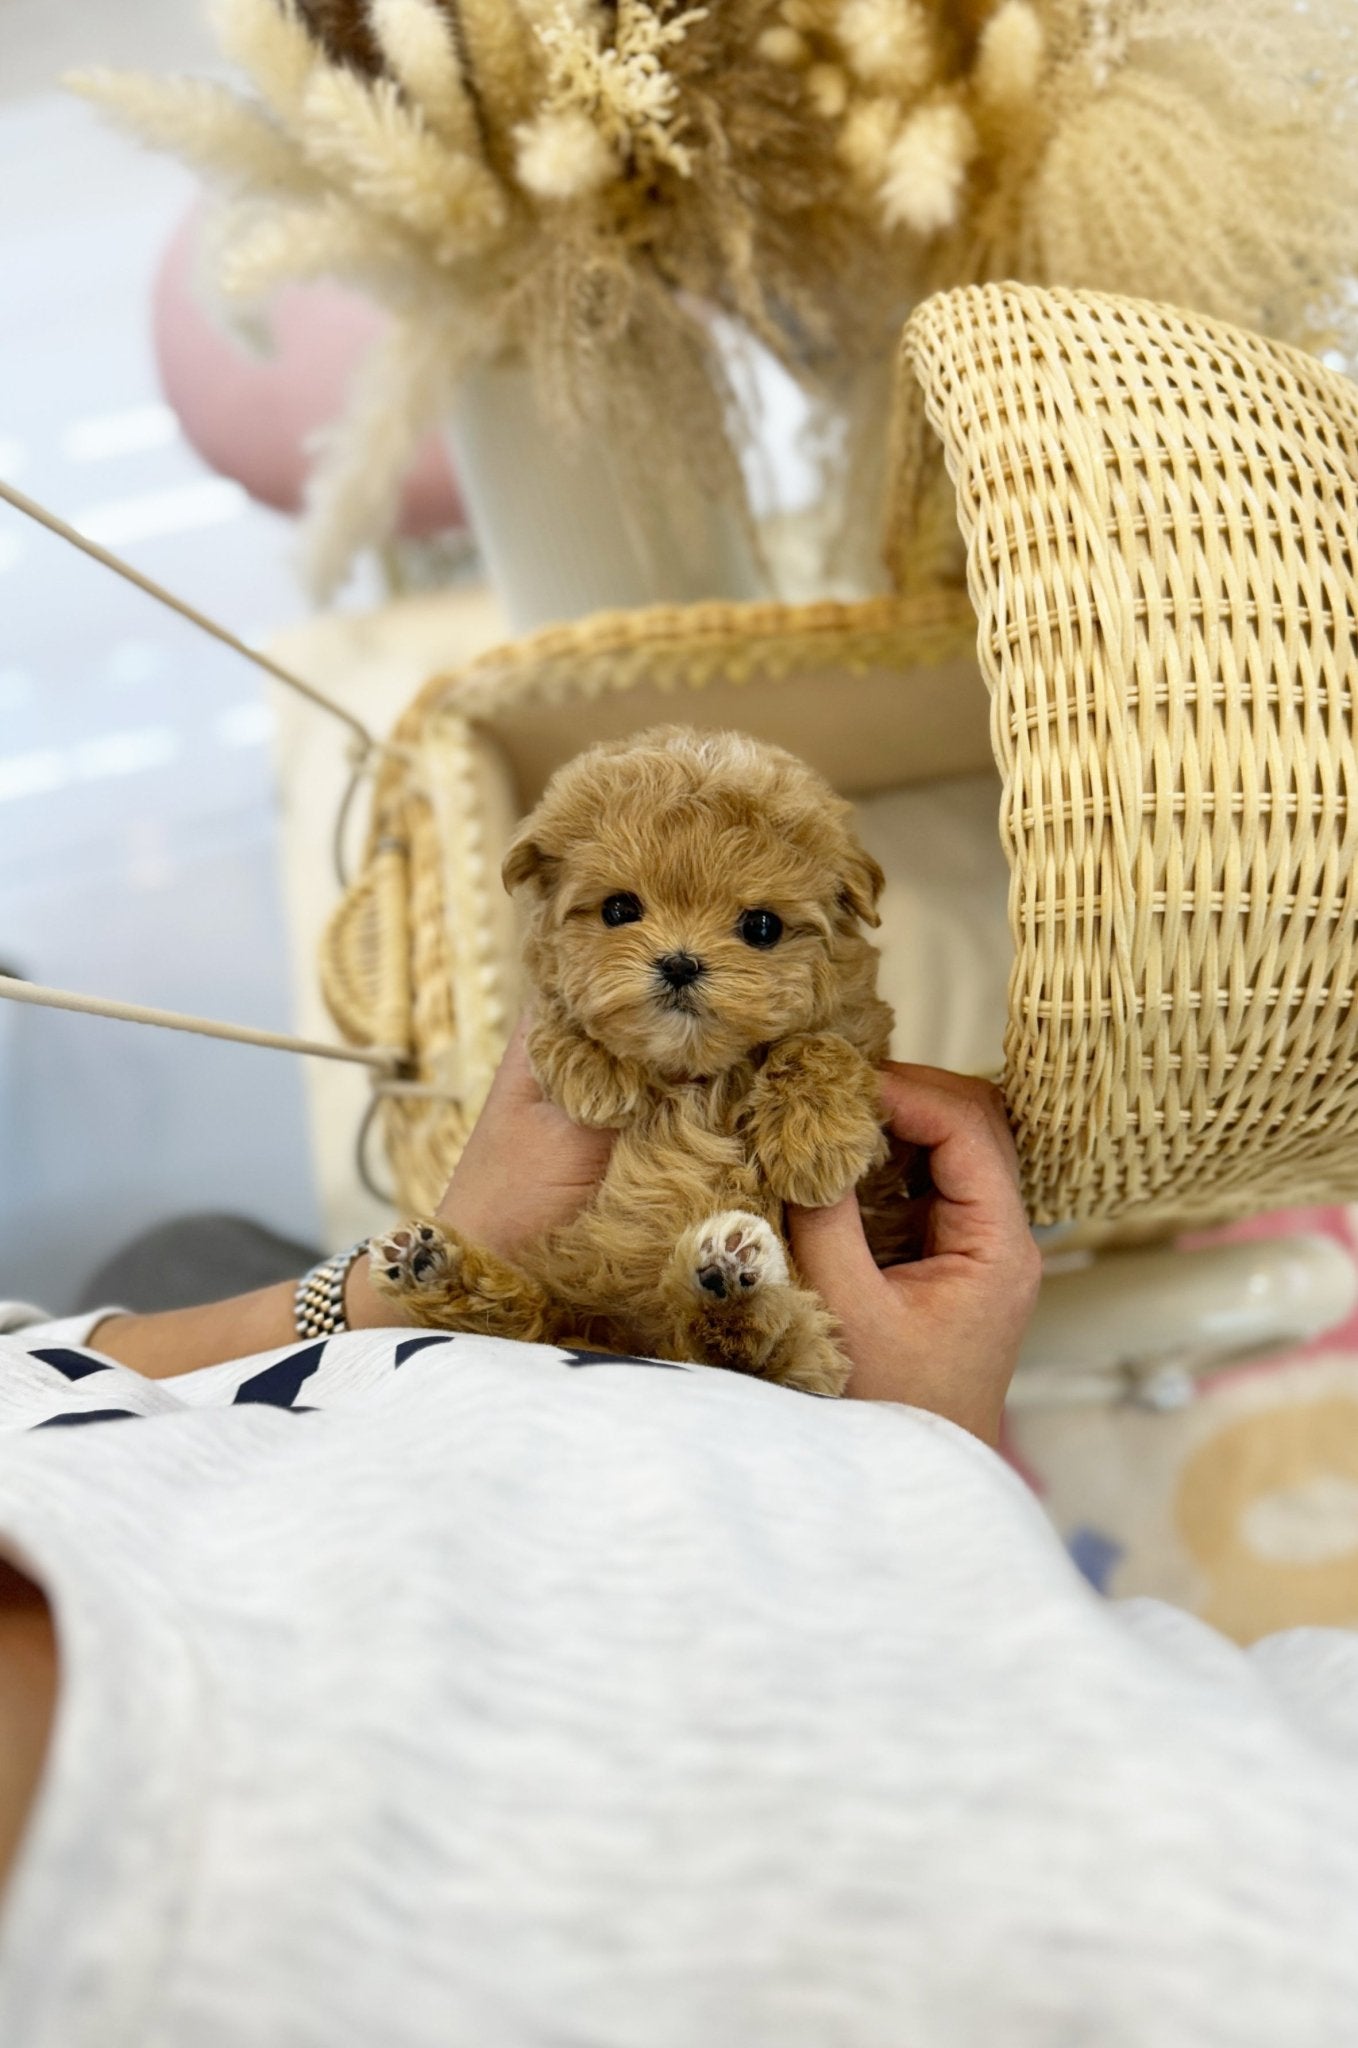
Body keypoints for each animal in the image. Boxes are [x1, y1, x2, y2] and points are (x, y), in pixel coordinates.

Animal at [372, 724, 909, 1392]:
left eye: (761, 927)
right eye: (619, 910)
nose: (680, 963)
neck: (694, 1070)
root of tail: (642, 1344)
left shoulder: (861, 1038)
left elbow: (820, 1045)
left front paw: (815, 1143)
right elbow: (558, 1002)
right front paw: (593, 1068)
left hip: (795, 1345)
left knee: (748, 1354)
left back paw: (728, 1281)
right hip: (564, 1306)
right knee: (524, 1324)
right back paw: (432, 1265)